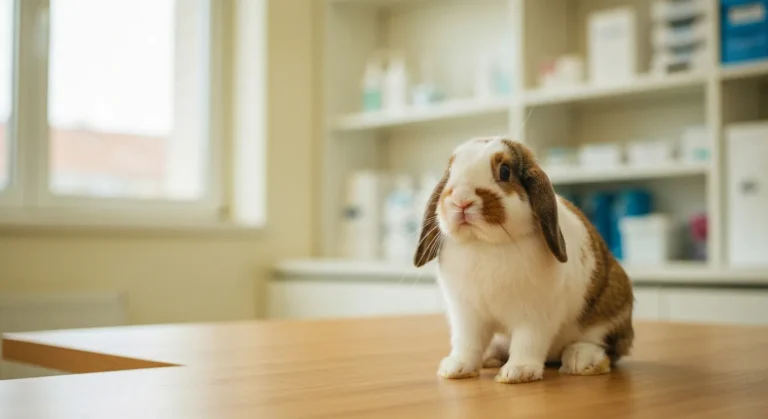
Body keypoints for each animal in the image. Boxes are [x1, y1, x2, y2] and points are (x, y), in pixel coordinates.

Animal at [413, 136, 634, 384]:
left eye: (505, 171)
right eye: (450, 171)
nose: (461, 201)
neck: (485, 244)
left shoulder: (534, 315)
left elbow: (528, 342)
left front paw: (518, 372)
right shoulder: (467, 315)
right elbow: (467, 343)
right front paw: (456, 368)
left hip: (611, 311)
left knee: (606, 347)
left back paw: (581, 360)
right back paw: (491, 355)